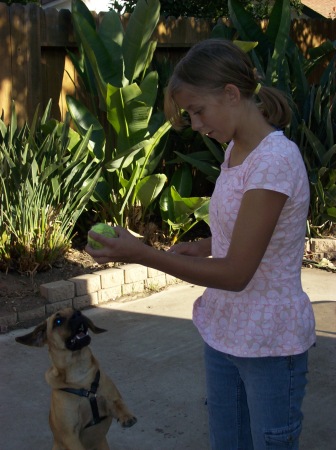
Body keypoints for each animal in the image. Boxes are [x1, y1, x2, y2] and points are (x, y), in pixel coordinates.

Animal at [15, 308, 136, 450]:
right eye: (58, 321)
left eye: (75, 311)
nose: (77, 314)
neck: (80, 377)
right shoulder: (70, 435)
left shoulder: (110, 401)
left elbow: (119, 403)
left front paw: (126, 416)